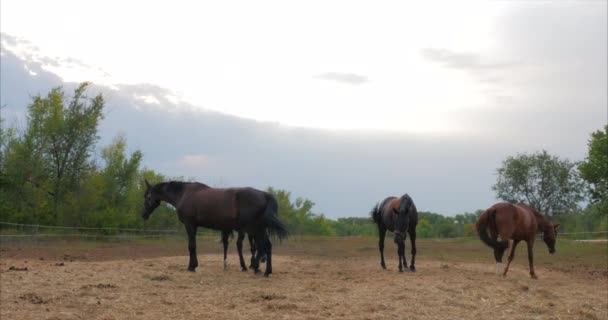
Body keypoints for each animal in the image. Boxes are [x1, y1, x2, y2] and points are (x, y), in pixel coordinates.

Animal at [142, 180, 288, 278]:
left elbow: (191, 246)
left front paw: (191, 267)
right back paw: (265, 270)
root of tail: (264, 194)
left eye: (148, 197)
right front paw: (194, 265)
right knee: (266, 246)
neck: (184, 194)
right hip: (259, 229)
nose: (143, 215)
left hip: (256, 228)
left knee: (264, 246)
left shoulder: (190, 225)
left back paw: (261, 269)